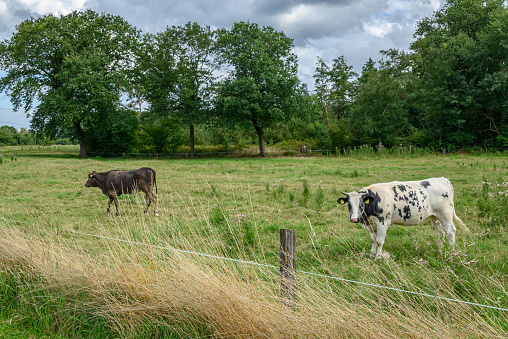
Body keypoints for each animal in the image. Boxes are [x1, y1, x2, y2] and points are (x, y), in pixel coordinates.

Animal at [338, 178, 468, 260]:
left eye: (361, 204)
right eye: (349, 205)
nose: (354, 219)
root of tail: (444, 180)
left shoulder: (383, 223)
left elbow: (379, 242)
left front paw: (377, 258)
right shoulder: (372, 225)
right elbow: (373, 240)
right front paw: (371, 255)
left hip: (445, 215)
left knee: (450, 232)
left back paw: (451, 252)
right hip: (435, 217)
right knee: (440, 233)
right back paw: (441, 250)